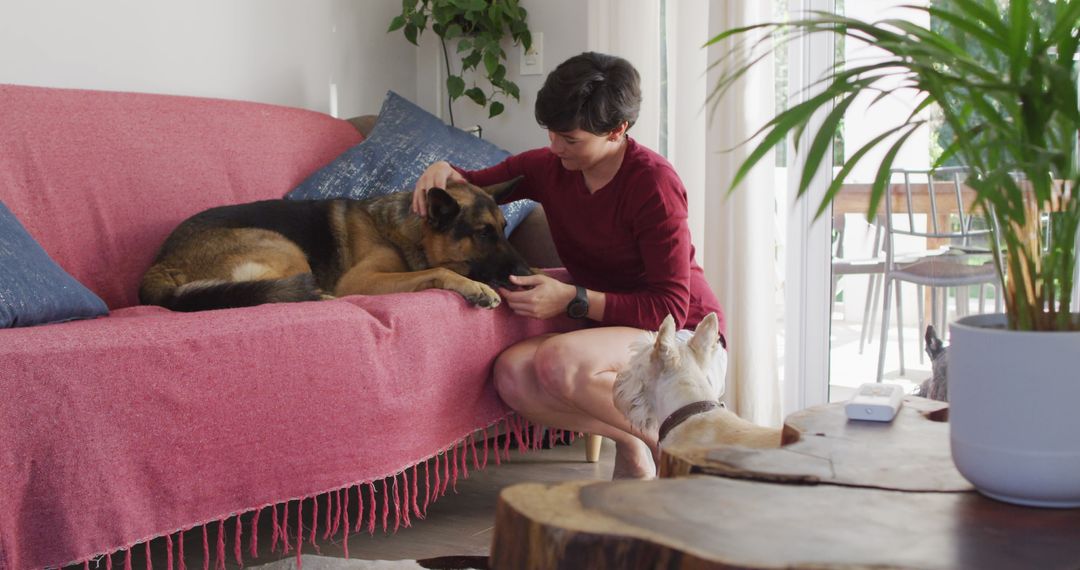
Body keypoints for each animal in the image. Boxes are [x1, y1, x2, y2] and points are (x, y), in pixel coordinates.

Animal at [139, 178, 531, 310]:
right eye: (483, 233)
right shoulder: (362, 280)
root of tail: (160, 262)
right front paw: (475, 287)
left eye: (504, 228)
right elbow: (438, 272)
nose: (525, 269)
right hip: (286, 249)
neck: (404, 231)